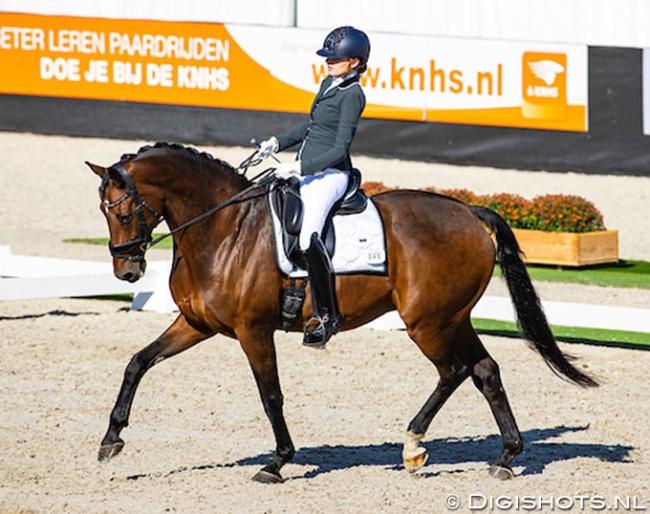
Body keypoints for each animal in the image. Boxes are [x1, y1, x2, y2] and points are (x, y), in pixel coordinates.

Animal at [87, 142, 596, 482]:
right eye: (104, 212)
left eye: (126, 212)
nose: (127, 271)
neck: (224, 229)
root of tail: (470, 213)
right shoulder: (196, 324)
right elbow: (138, 362)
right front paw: (111, 440)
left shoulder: (254, 330)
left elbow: (271, 396)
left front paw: (277, 462)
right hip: (453, 318)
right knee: (484, 370)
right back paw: (505, 457)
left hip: (427, 323)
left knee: (452, 371)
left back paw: (413, 447)